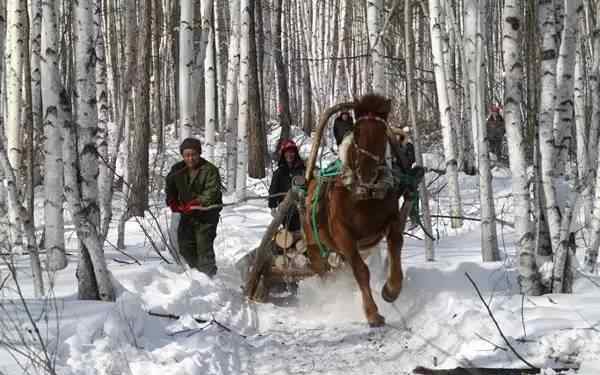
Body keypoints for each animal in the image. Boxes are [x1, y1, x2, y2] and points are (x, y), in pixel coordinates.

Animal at [300, 95, 412, 328]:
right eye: (357, 131)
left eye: (383, 132)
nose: (367, 173)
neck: (363, 196)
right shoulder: (343, 235)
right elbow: (361, 271)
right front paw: (372, 314)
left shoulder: (390, 220)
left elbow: (396, 242)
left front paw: (391, 290)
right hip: (313, 242)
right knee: (322, 269)